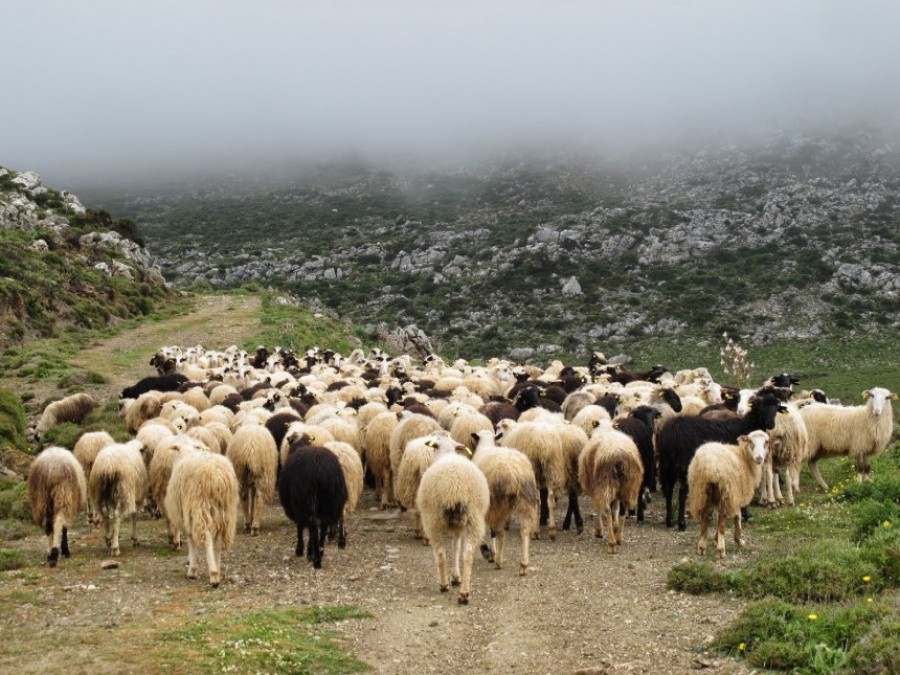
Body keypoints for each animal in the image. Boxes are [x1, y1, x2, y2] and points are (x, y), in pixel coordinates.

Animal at [163, 448, 237, 588]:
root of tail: (217, 476)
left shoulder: (187, 515)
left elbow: (191, 542)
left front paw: (192, 571)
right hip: (225, 512)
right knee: (218, 542)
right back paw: (217, 569)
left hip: (201, 507)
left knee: (207, 540)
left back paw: (214, 575)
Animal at [280, 440, 350, 568]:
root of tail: (321, 468)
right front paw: (309, 549)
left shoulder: (297, 507)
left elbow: (300, 528)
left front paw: (301, 550)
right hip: (332, 499)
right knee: (324, 524)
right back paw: (321, 550)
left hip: (307, 499)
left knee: (313, 524)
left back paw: (316, 559)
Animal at [416, 440, 488, 604]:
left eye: (434, 448)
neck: (447, 453)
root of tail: (454, 487)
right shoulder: (458, 526)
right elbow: (456, 548)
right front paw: (456, 577)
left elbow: (449, 550)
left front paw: (452, 579)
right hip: (474, 518)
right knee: (467, 554)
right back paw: (464, 594)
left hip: (433, 518)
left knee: (440, 553)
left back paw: (444, 585)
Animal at [652, 390, 788, 532]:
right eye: (760, 407)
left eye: (776, 409)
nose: (771, 424)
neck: (746, 426)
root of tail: (671, 430)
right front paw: (746, 514)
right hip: (684, 464)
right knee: (682, 491)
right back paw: (681, 523)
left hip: (666, 463)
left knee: (668, 489)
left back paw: (669, 521)